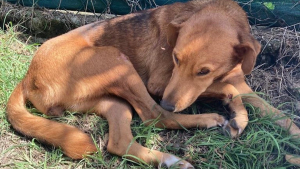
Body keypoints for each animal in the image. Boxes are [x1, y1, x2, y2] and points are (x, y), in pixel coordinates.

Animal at [5, 0, 300, 168]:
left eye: (204, 70)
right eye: (175, 58)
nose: (169, 101)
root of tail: (28, 76)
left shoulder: (241, 83)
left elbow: (281, 116)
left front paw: (292, 138)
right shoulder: (161, 85)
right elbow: (225, 91)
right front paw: (236, 114)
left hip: (113, 102)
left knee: (120, 142)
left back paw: (170, 160)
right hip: (116, 60)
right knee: (154, 115)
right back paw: (206, 121)